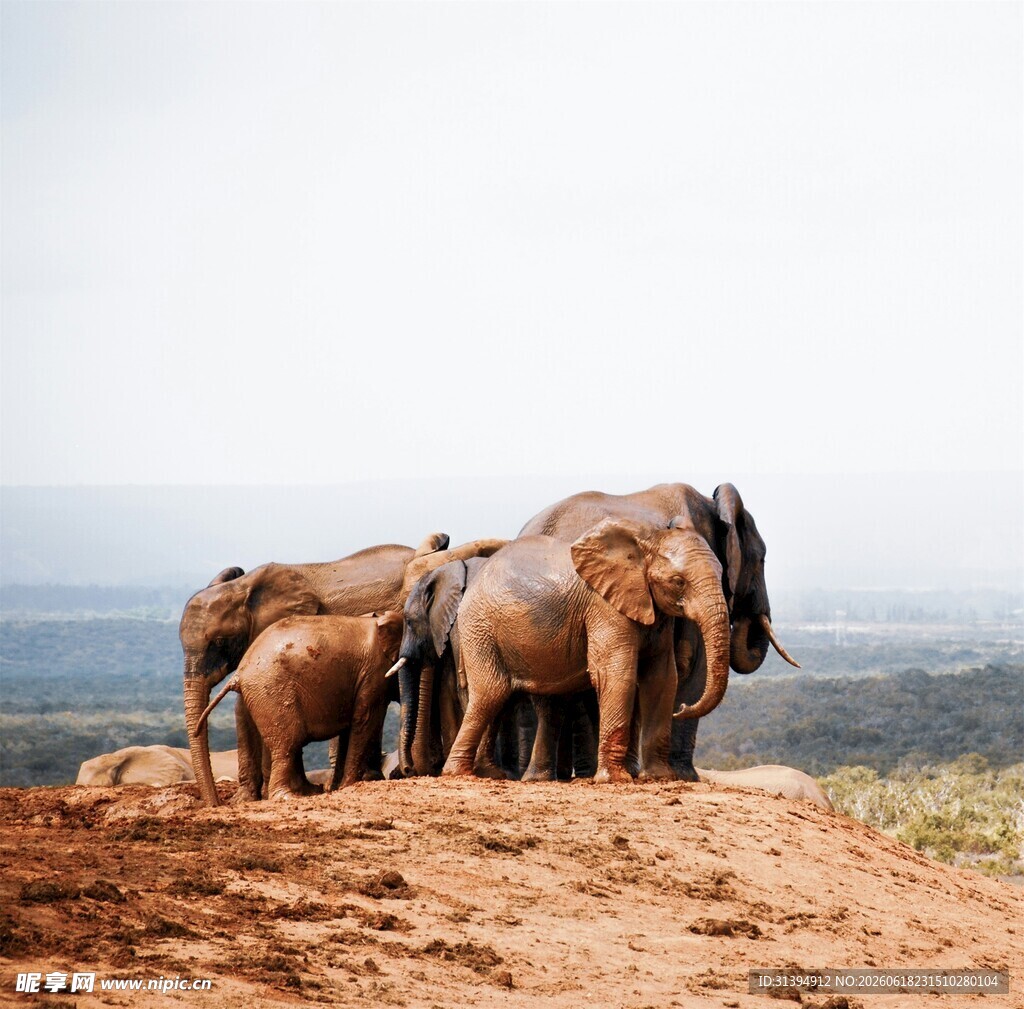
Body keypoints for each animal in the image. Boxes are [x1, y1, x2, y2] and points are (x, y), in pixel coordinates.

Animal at [194, 612, 404, 799]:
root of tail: (239, 673)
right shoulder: (374, 673)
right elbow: (365, 720)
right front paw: (348, 785)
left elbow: (351, 728)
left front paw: (338, 786)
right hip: (272, 690)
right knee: (289, 740)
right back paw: (287, 797)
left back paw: (308, 791)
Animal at [443, 514, 731, 783]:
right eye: (678, 582)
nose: (681, 708)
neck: (646, 541)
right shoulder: (605, 606)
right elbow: (616, 674)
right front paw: (615, 780)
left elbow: (662, 678)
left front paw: (659, 777)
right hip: (480, 628)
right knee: (491, 692)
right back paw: (458, 773)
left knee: (519, 701)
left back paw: (494, 774)